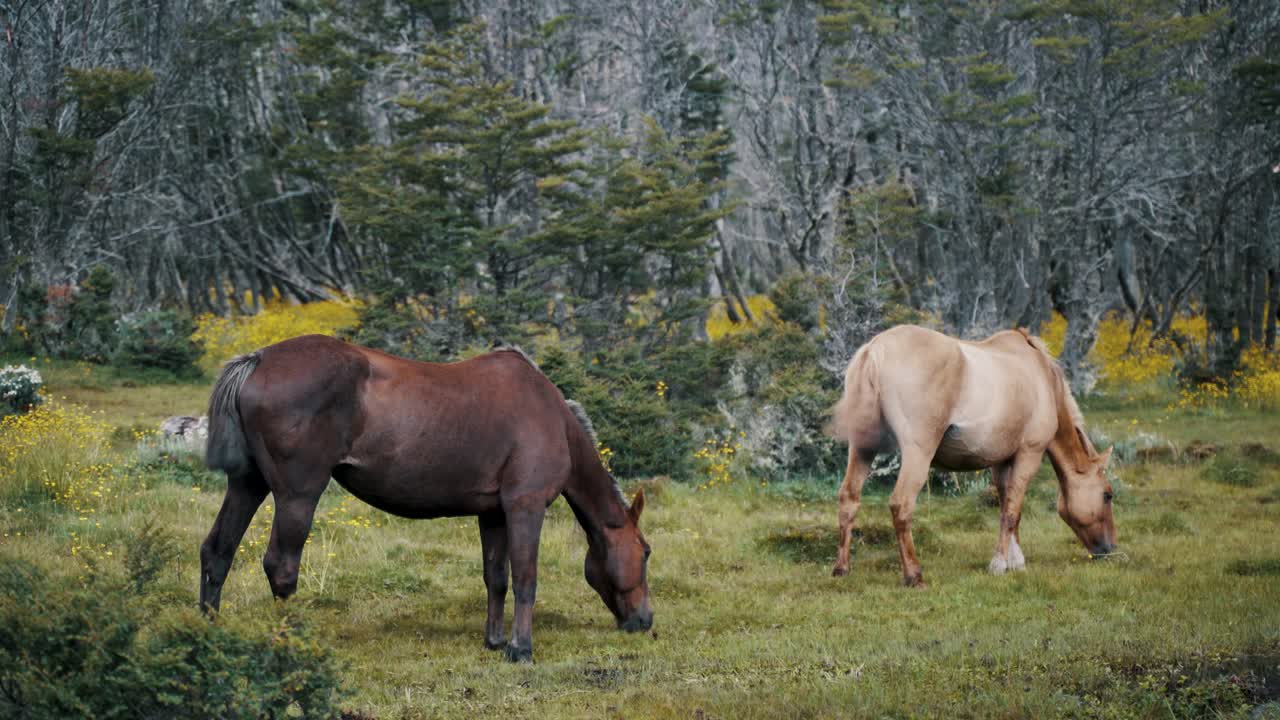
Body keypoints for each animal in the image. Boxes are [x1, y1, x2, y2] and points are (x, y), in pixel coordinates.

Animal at [199, 334, 652, 662]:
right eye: (645, 552)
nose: (645, 620)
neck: (552, 416)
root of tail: (258, 359)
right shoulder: (526, 506)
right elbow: (526, 579)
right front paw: (520, 648)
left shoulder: (493, 514)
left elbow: (497, 578)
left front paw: (495, 640)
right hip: (298, 494)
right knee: (281, 566)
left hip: (247, 484)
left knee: (217, 550)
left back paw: (207, 629)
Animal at [826, 325, 1116, 587]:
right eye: (1107, 495)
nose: (1109, 549)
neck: (1041, 376)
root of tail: (875, 349)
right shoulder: (1029, 455)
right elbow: (1012, 513)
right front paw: (999, 564)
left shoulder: (1001, 463)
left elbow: (1008, 509)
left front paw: (1015, 561)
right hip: (917, 453)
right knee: (901, 505)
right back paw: (913, 575)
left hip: (862, 448)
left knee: (849, 498)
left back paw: (841, 569)